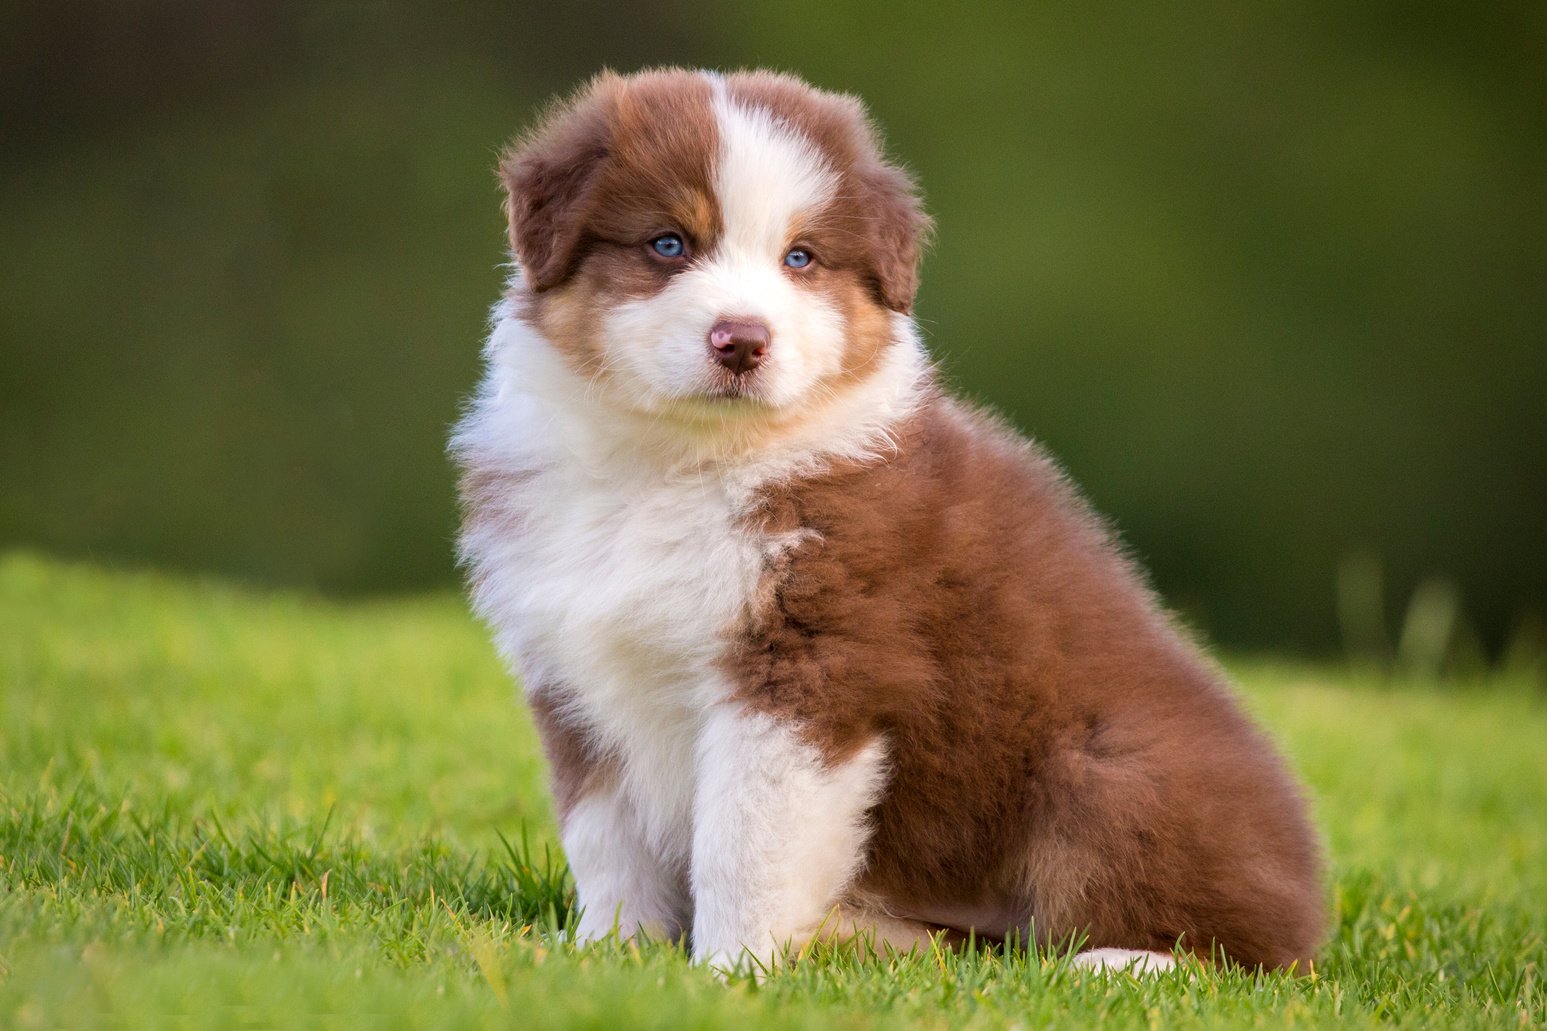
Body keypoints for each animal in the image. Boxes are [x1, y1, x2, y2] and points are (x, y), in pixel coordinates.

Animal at [451, 66, 1324, 972]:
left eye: (800, 257)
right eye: (667, 244)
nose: (741, 341)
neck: (673, 463)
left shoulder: (806, 669)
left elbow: (743, 841)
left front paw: (730, 971)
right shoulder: (572, 671)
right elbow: (604, 834)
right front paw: (605, 953)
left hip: (1107, 768)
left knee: (1226, 946)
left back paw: (1115, 964)